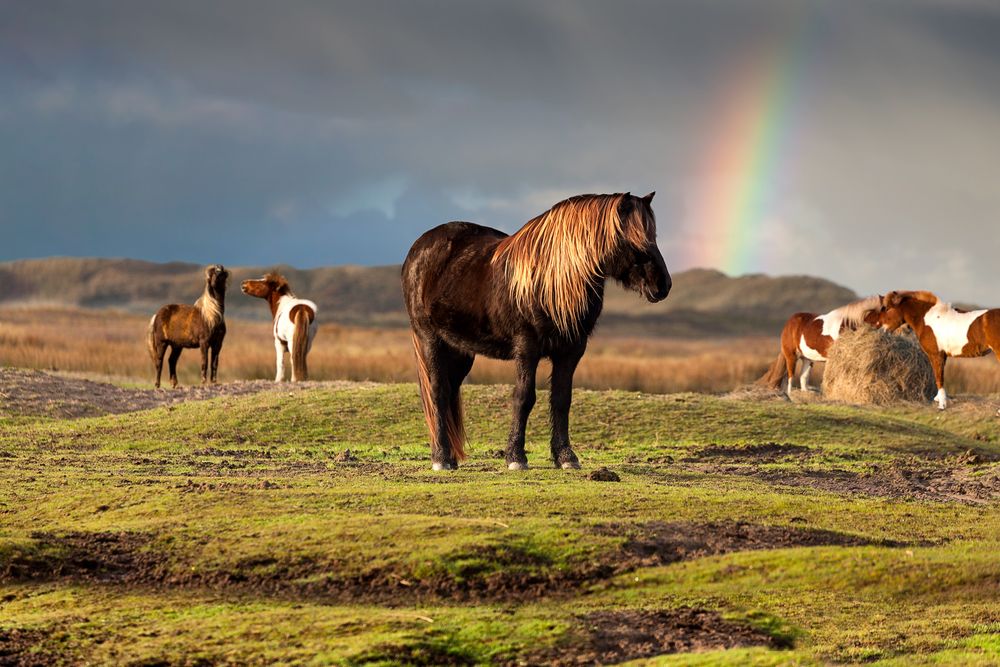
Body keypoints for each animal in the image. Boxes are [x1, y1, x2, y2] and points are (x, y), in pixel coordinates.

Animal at [400, 190, 672, 472]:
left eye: (653, 236)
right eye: (633, 240)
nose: (663, 285)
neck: (551, 280)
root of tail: (418, 248)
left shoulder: (571, 352)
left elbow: (562, 400)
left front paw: (566, 457)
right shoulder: (526, 349)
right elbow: (524, 398)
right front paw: (516, 457)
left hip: (460, 351)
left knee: (451, 390)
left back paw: (452, 458)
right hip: (431, 340)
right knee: (438, 392)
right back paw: (441, 458)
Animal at [756, 294, 884, 394]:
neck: (848, 324)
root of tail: (790, 321)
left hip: (807, 359)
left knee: (803, 379)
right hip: (791, 356)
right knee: (790, 377)